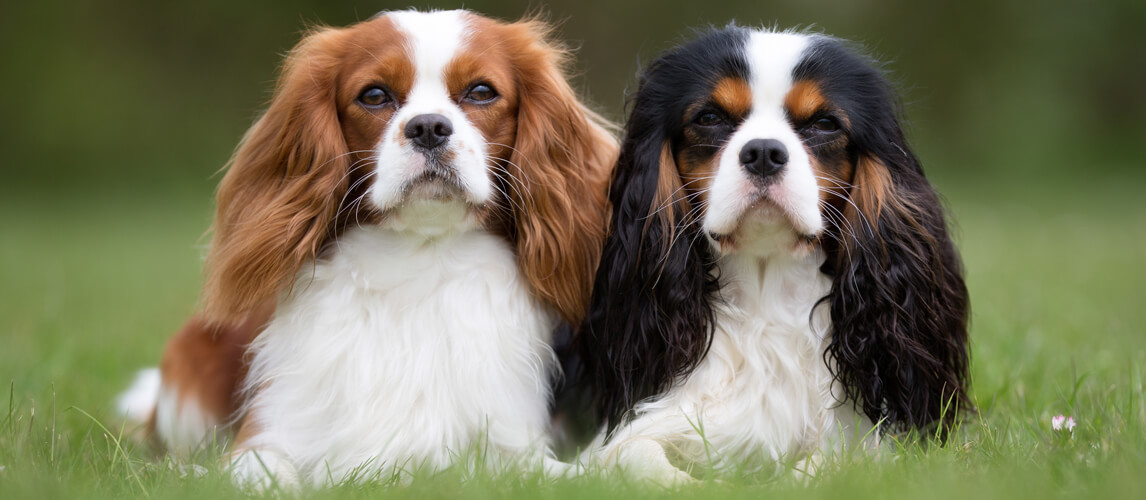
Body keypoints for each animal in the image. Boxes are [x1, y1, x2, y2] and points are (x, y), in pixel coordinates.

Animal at [117, 8, 618, 488]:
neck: (419, 261)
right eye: (374, 96)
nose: (429, 127)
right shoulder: (264, 437)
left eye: (481, 92)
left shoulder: (512, 448)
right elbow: (261, 474)